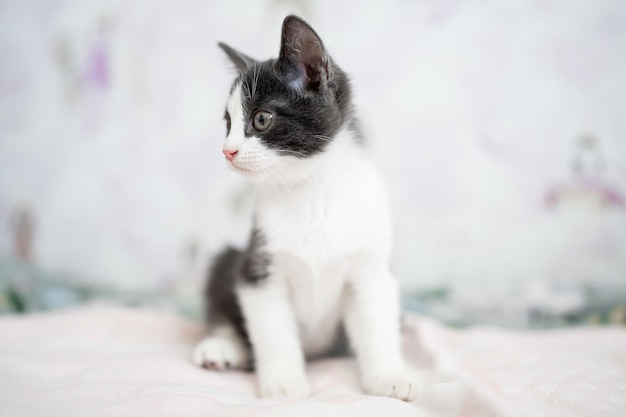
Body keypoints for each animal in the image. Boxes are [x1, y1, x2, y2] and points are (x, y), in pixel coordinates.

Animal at [188, 15, 416, 400]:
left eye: (261, 119)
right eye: (228, 124)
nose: (227, 151)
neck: (311, 189)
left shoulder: (371, 267)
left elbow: (377, 321)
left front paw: (388, 376)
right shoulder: (259, 268)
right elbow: (272, 329)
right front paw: (283, 382)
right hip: (232, 258)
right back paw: (222, 346)